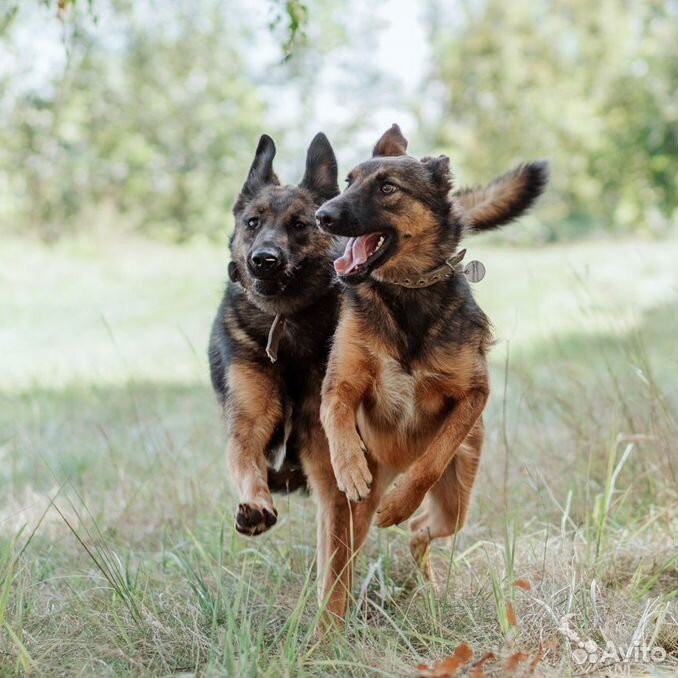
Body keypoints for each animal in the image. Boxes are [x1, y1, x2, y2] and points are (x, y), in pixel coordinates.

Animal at [316, 125, 548, 624]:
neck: (405, 295)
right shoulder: (340, 384)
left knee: (420, 528)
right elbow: (337, 416)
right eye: (348, 181)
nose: (322, 216)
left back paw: (424, 571)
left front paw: (402, 502)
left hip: (455, 503)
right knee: (343, 565)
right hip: (353, 520)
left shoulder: (473, 395)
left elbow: (433, 456)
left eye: (388, 187)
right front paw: (349, 466)